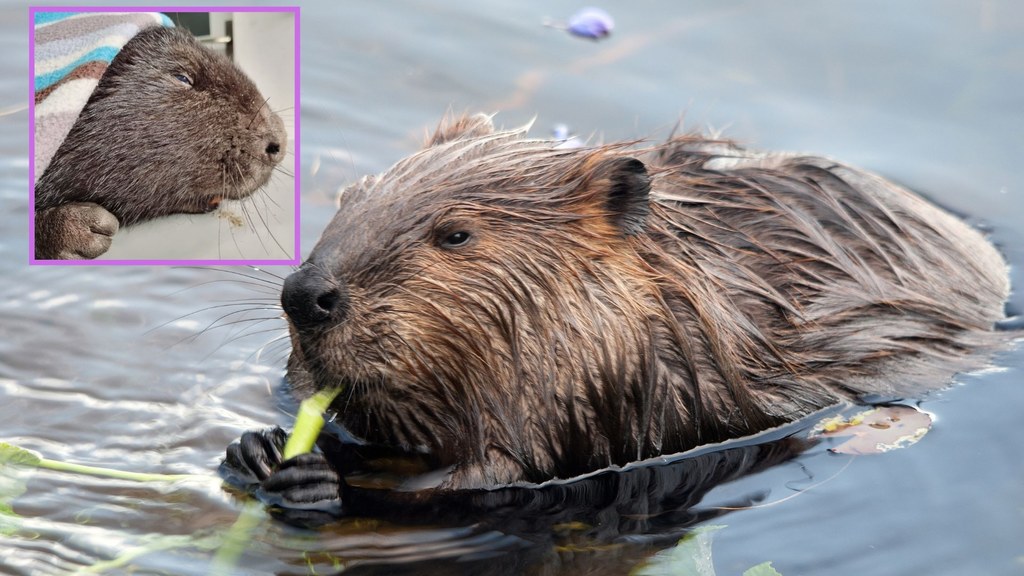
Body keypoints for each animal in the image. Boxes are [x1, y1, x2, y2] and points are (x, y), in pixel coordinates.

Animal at [222, 112, 1007, 510]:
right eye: (352, 196)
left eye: (456, 234)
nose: (306, 295)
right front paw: (258, 447)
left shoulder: (625, 390)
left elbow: (487, 477)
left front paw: (316, 474)